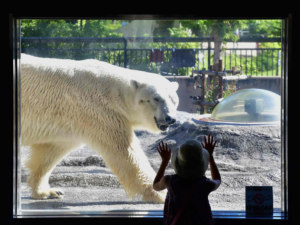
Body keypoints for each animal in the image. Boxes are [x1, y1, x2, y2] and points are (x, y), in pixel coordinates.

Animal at [21, 53, 180, 203]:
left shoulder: (70, 122)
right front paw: (161, 193)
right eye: (156, 98)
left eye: (174, 100)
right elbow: (125, 153)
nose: (170, 118)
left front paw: (47, 191)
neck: (116, 92)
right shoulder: (100, 111)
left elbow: (51, 151)